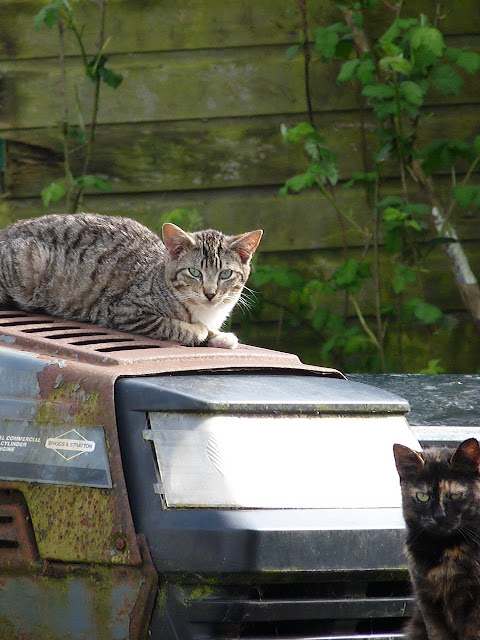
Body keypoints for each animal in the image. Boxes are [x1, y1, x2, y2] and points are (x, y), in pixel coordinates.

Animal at [0, 212, 262, 348]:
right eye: (194, 272)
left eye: (225, 274)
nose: (210, 293)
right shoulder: (125, 310)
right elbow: (173, 325)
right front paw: (199, 332)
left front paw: (218, 336)